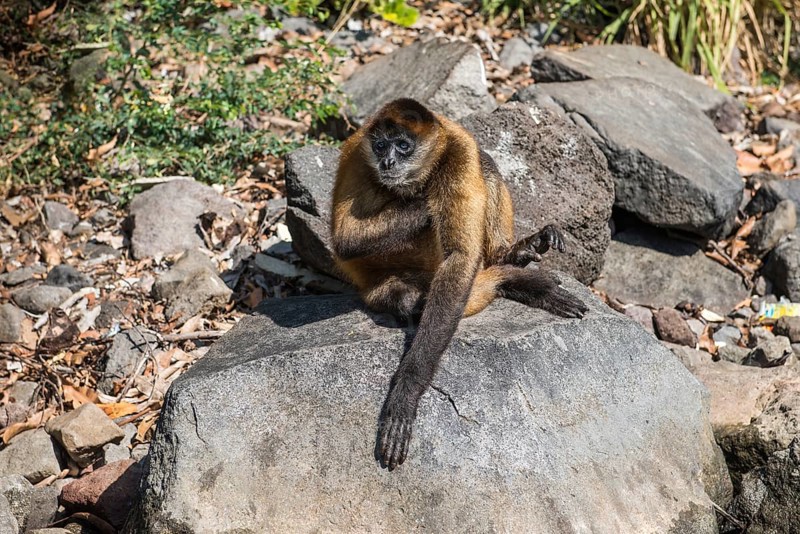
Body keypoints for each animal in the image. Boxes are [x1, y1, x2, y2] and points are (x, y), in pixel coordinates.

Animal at [330, 98, 588, 471]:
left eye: (403, 146)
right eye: (380, 145)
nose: (387, 162)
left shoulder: (459, 152)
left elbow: (461, 258)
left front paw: (406, 390)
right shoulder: (355, 152)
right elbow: (344, 240)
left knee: (486, 164)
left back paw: (507, 258)